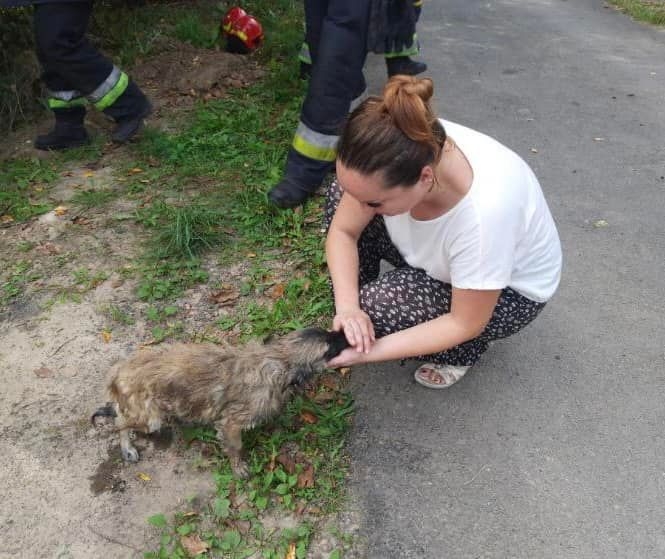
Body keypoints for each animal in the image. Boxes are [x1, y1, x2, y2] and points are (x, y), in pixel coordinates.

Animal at [92, 328, 348, 476]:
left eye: (330, 332)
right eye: (329, 347)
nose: (348, 331)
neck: (276, 359)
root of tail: (118, 371)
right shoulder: (231, 423)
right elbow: (235, 447)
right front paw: (239, 467)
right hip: (149, 418)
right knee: (120, 421)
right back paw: (127, 447)